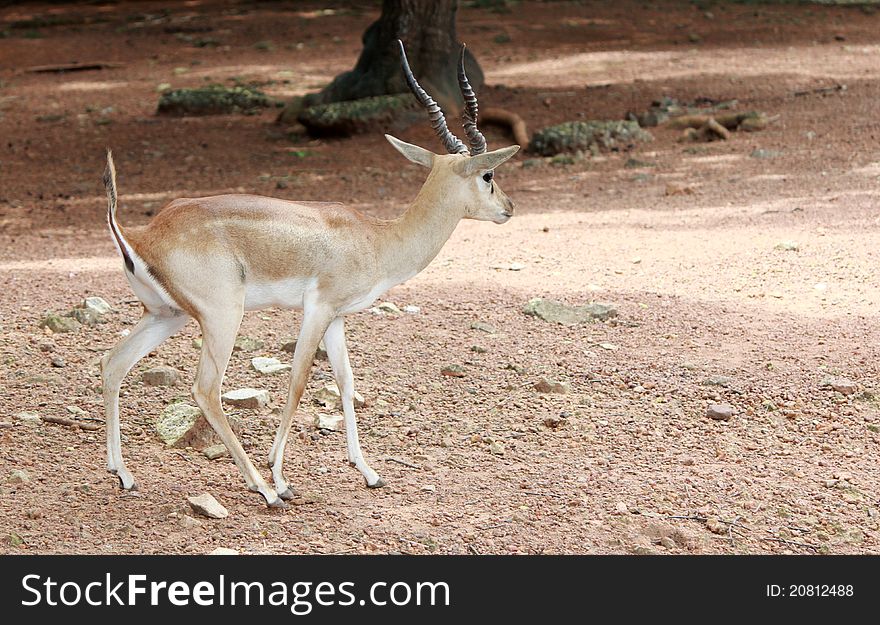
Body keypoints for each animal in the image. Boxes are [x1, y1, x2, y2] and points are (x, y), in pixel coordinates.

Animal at [100, 40, 520, 508]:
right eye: (488, 174)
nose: (509, 208)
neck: (378, 238)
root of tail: (142, 235)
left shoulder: (337, 318)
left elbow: (346, 382)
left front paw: (368, 473)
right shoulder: (317, 309)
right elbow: (298, 382)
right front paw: (280, 477)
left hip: (164, 315)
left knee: (113, 363)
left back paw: (124, 475)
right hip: (222, 317)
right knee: (205, 389)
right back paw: (263, 489)